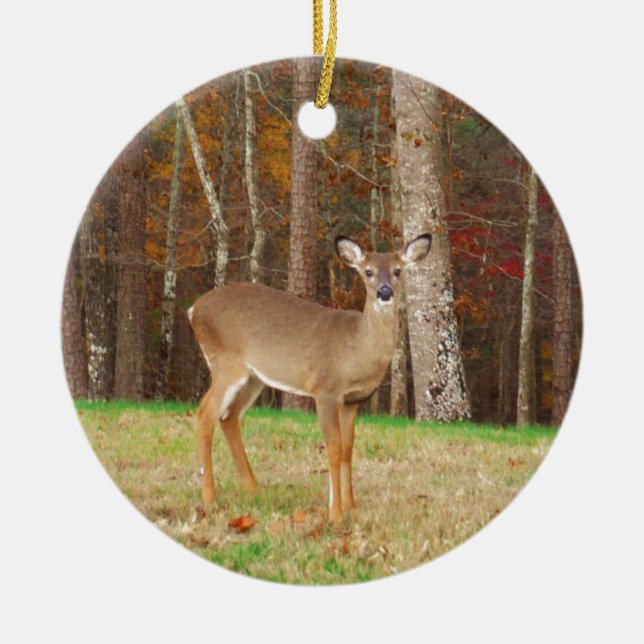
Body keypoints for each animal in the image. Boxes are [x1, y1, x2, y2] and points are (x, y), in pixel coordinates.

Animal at [187, 233, 432, 526]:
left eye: (397, 270)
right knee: (205, 414)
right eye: (368, 272)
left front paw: (351, 506)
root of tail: (193, 309)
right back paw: (210, 499)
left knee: (229, 417)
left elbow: (348, 449)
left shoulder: (352, 400)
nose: (385, 292)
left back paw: (254, 490)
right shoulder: (325, 389)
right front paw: (336, 514)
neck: (355, 350)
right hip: (226, 363)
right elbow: (334, 448)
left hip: (254, 377)